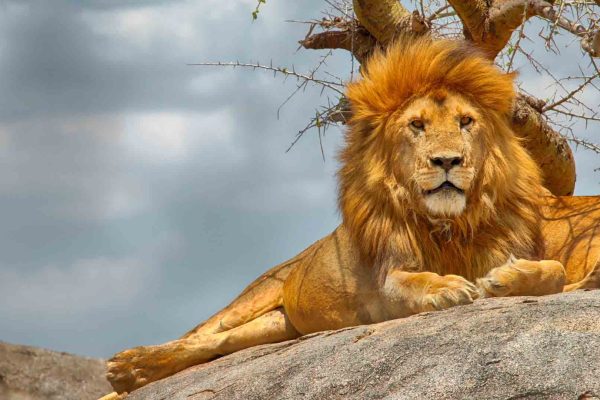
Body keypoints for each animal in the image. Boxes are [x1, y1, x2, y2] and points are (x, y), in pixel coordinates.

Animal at [99, 36, 600, 396]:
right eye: (416, 125)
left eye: (465, 122)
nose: (447, 161)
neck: (447, 226)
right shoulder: (387, 279)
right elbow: (414, 282)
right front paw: (446, 288)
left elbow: (553, 270)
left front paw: (505, 281)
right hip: (255, 295)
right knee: (197, 335)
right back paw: (126, 371)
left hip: (275, 326)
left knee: (214, 345)